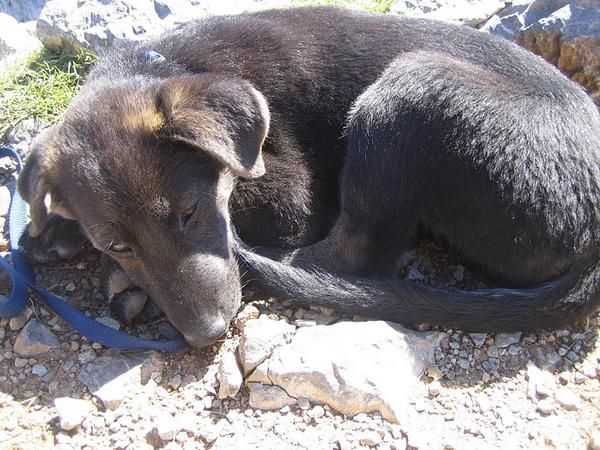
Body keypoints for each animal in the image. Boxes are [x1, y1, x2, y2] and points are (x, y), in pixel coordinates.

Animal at [16, 7, 600, 348]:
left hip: (411, 88)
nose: (207, 335)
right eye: (117, 244)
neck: (165, 65)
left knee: (359, 256)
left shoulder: (291, 191)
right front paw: (54, 231)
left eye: (190, 212)